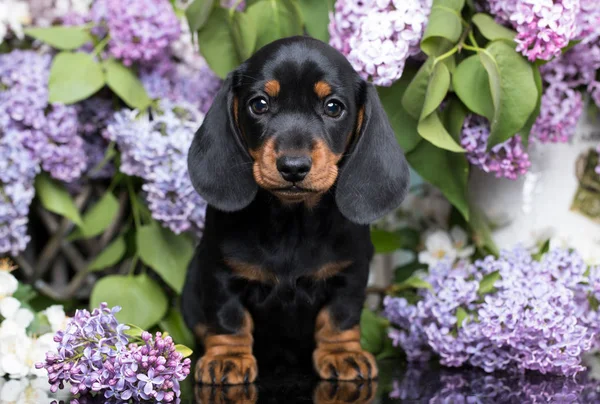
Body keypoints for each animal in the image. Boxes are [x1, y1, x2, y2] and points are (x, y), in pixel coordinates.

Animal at [182, 35, 408, 386]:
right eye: (259, 104)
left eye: (333, 107)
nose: (293, 167)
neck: (292, 222)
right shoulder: (220, 271)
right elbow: (228, 317)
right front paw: (228, 358)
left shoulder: (350, 273)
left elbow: (339, 316)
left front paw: (342, 353)